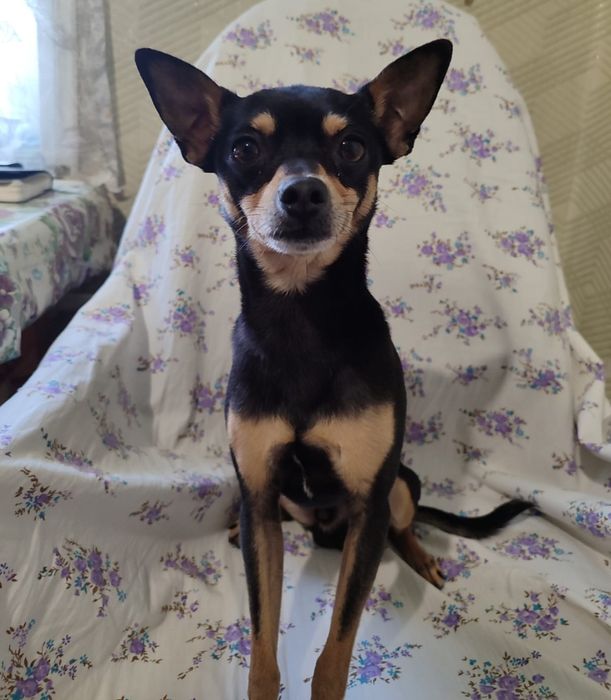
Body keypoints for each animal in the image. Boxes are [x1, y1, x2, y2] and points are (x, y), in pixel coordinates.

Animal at [136, 40, 531, 700]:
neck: (301, 318)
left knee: (404, 525)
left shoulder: (370, 507)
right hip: (279, 503)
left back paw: (420, 557)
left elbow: (338, 648)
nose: (303, 193)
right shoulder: (261, 490)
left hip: (400, 484)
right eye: (245, 148)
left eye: (351, 147)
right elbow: (263, 641)